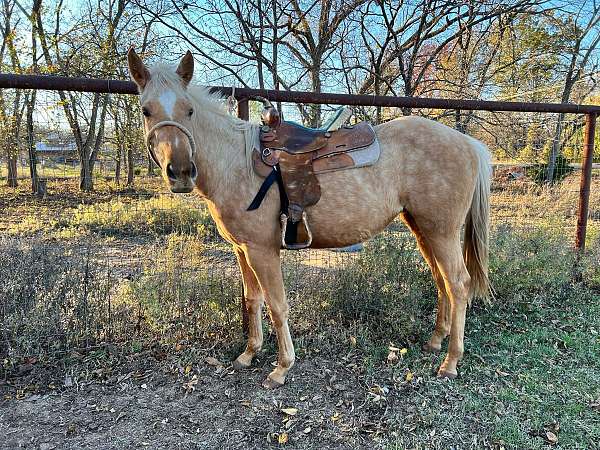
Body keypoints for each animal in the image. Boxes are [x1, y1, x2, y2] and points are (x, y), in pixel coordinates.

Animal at [127, 48, 492, 386]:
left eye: (188, 110)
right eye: (146, 110)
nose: (181, 172)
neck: (235, 162)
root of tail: (468, 143)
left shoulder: (262, 250)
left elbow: (277, 305)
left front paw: (281, 367)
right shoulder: (243, 249)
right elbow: (252, 299)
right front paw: (249, 353)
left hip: (442, 232)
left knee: (458, 284)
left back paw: (450, 361)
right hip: (423, 229)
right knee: (441, 281)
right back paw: (435, 341)